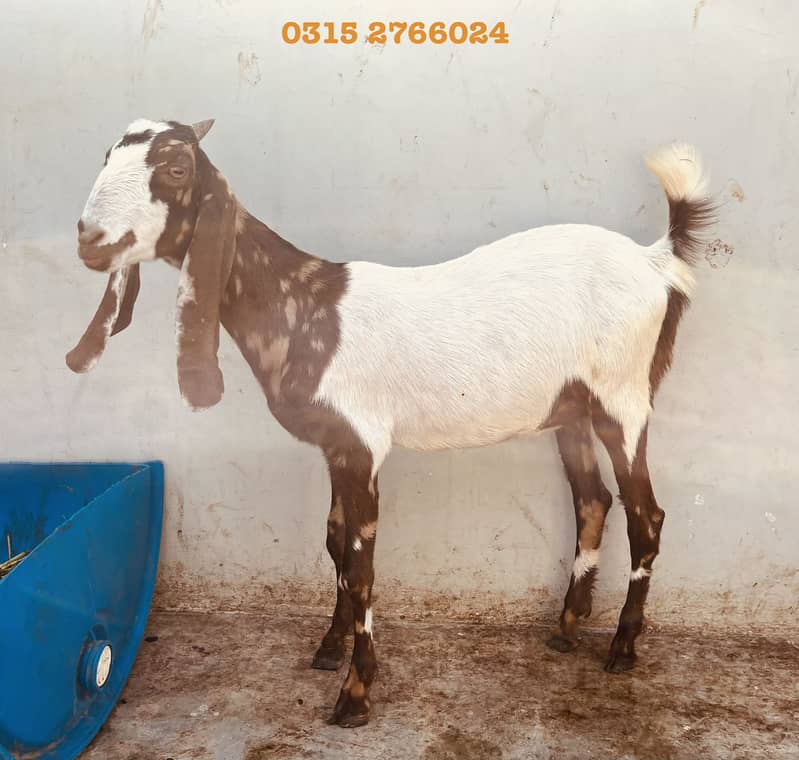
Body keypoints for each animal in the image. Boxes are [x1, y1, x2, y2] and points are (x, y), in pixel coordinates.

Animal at [67, 118, 714, 727]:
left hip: (623, 400)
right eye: (106, 156)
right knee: (593, 501)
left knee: (646, 515)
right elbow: (333, 542)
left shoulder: (362, 443)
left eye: (176, 168)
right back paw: (567, 628)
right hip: (570, 410)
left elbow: (360, 565)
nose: (91, 240)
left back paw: (623, 648)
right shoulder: (334, 445)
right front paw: (329, 649)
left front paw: (354, 696)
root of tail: (657, 261)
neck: (303, 307)